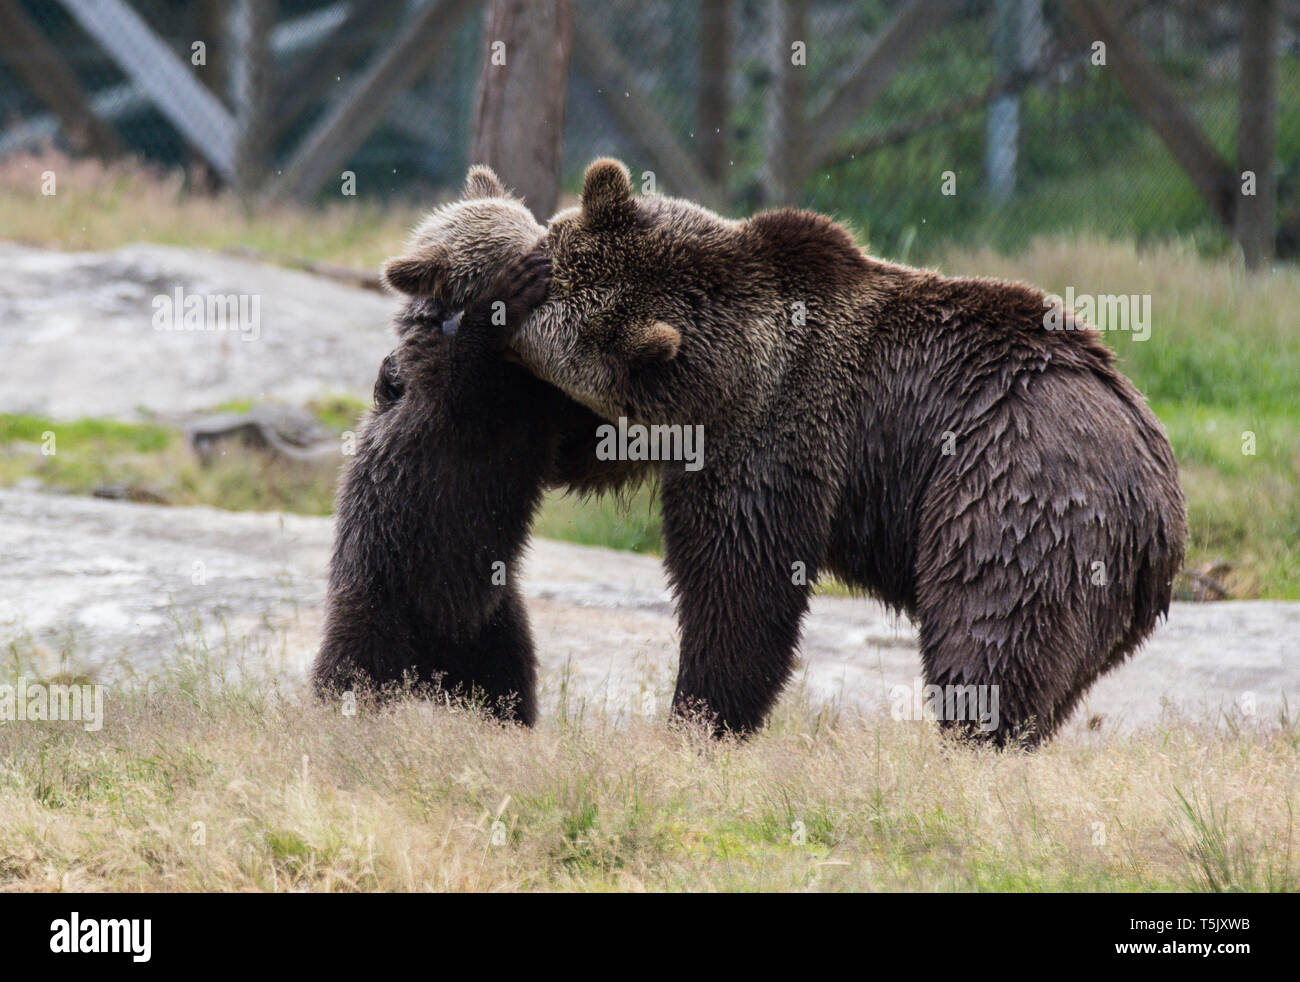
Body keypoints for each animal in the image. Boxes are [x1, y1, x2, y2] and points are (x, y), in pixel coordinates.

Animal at [312, 165, 648, 722]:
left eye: (539, 226)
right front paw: (506, 297)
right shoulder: (452, 411)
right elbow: (463, 379)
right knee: (354, 667)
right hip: (384, 587)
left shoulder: (541, 416)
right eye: (525, 247)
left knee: (508, 679)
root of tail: (430, 669)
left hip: (496, 613)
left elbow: (588, 448)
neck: (516, 373)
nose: (553, 259)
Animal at [501, 158, 1186, 744]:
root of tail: (1155, 494)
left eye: (551, 385)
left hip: (1015, 494)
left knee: (990, 631)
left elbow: (740, 587)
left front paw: (698, 718)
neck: (723, 375)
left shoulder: (773, 437)